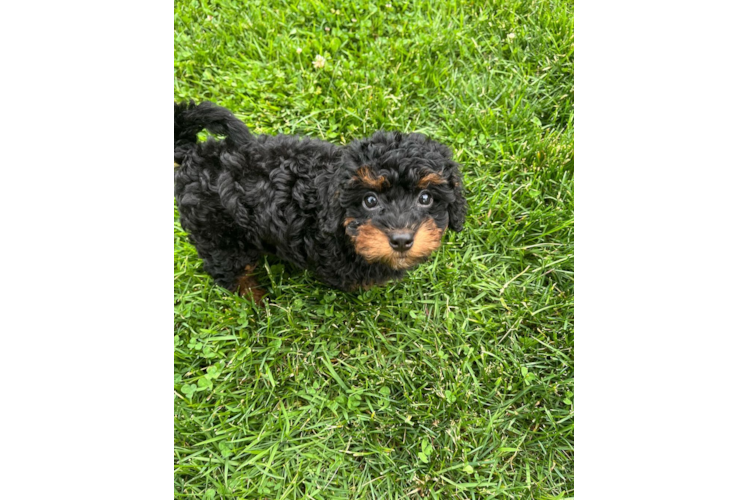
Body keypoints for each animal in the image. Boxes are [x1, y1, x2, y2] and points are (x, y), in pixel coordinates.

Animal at [175, 99, 468, 298]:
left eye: (426, 198)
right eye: (370, 201)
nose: (402, 240)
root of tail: (194, 155)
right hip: (218, 238)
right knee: (229, 271)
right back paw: (255, 299)